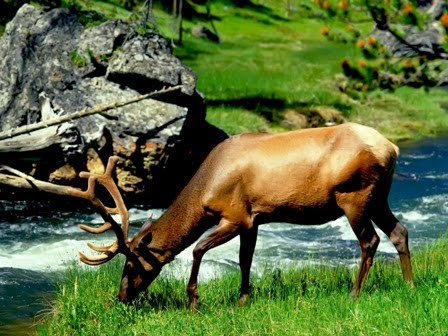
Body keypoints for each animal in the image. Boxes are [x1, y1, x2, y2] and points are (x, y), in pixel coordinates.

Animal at [70, 122, 412, 308]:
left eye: (131, 264)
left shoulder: (235, 216)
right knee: (399, 232)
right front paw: (243, 299)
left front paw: (193, 301)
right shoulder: (255, 218)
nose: (121, 296)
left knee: (370, 241)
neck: (205, 190)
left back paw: (354, 293)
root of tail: (392, 148)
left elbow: (197, 249)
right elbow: (245, 259)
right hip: (378, 197)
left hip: (355, 195)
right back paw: (409, 284)